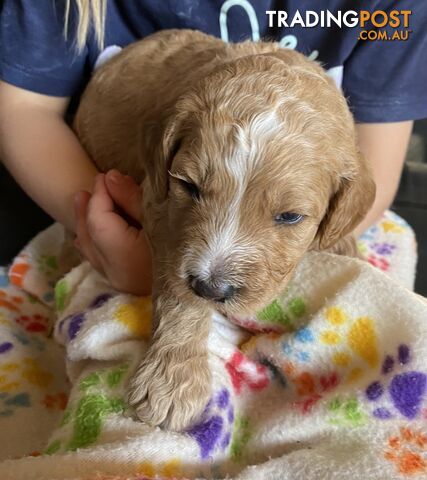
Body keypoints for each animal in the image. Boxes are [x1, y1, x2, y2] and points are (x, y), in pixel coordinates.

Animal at [75, 29, 376, 432]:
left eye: (290, 217)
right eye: (189, 187)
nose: (211, 288)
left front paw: (348, 248)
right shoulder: (161, 206)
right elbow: (179, 295)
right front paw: (173, 380)